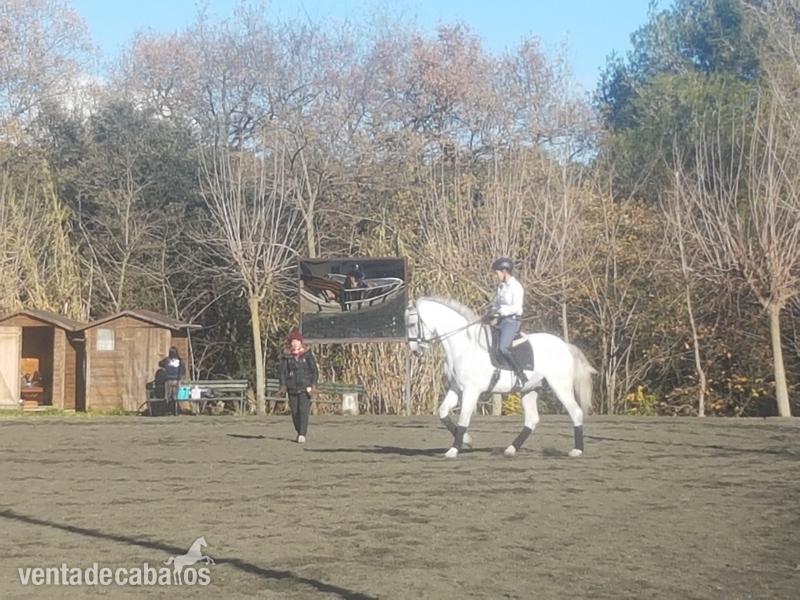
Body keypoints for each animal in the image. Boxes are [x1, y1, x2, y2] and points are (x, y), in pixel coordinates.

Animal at [405, 296, 598, 459]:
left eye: (412, 323)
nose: (415, 351)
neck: (464, 346)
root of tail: (564, 345)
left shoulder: (471, 390)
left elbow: (464, 418)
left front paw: (453, 450)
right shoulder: (457, 387)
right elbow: (443, 412)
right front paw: (467, 440)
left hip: (560, 386)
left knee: (576, 412)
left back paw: (576, 451)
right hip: (529, 389)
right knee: (531, 419)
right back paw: (511, 449)